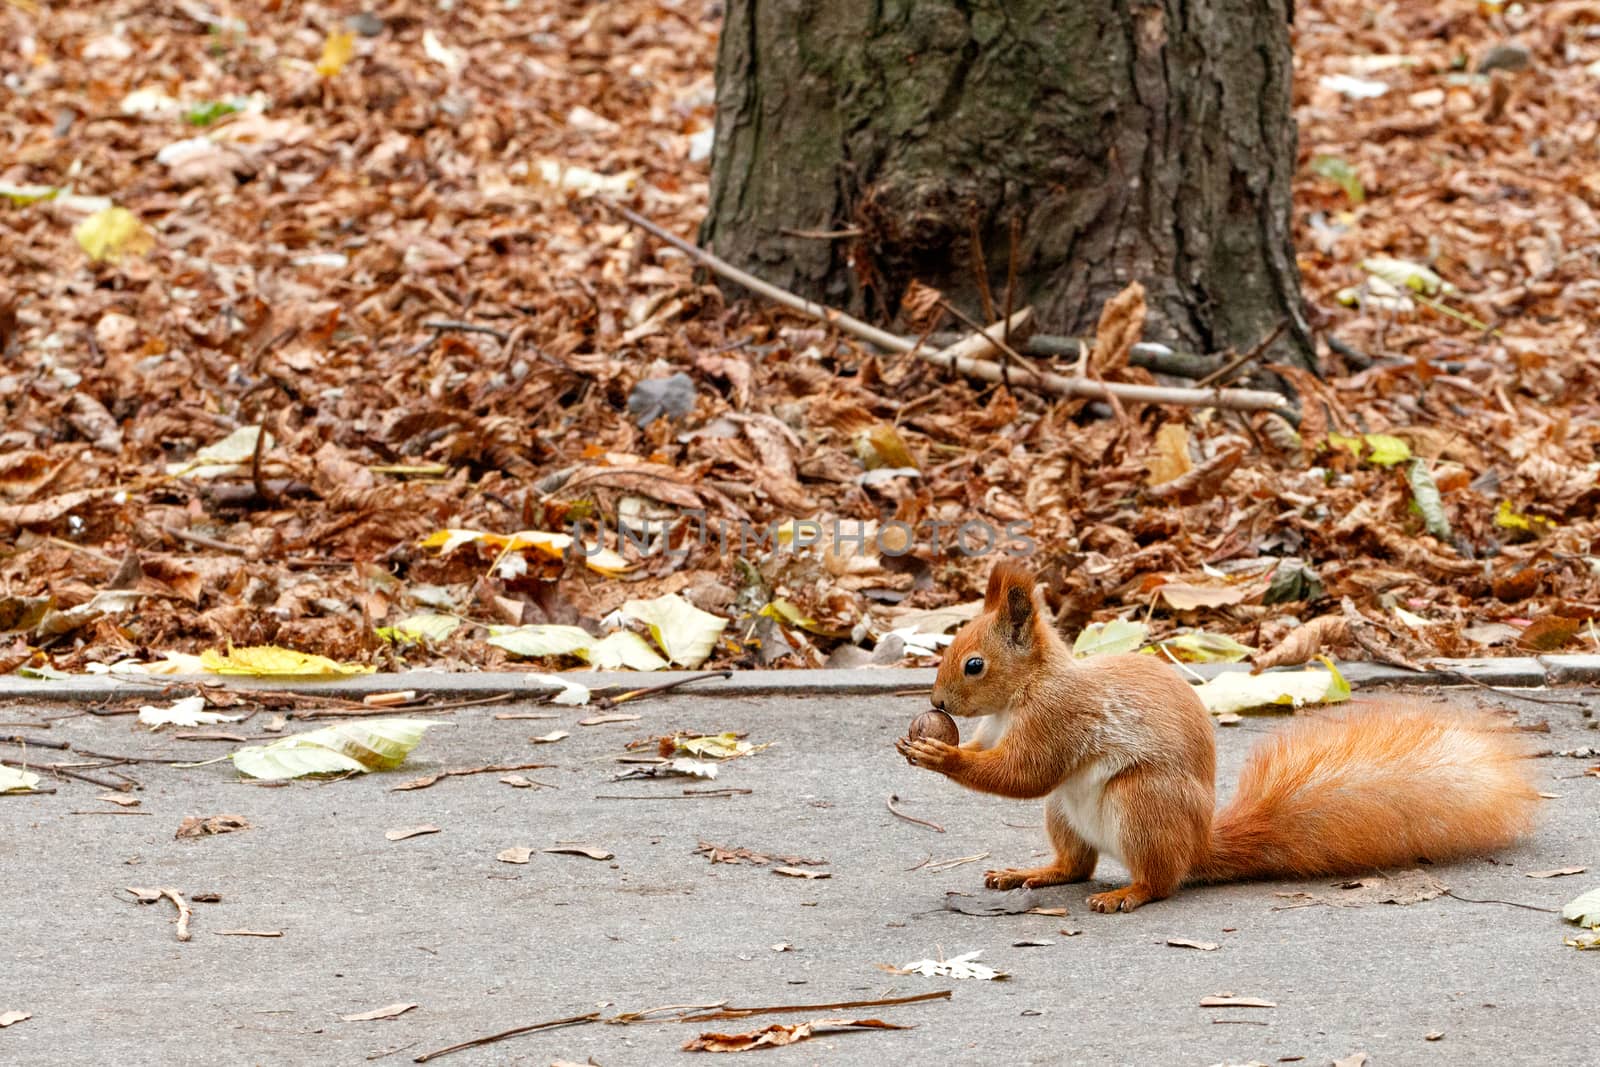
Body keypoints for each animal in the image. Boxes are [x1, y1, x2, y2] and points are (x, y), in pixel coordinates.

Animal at [896, 563, 1542, 915]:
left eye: (974, 664)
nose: (937, 705)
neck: (1022, 694)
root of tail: (1197, 845)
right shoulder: (997, 729)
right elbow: (992, 757)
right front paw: (925, 744)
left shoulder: (1059, 718)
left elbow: (1022, 773)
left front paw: (939, 753)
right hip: (1066, 814)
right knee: (1075, 865)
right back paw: (1033, 874)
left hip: (1142, 804)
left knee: (1159, 882)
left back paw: (1126, 893)